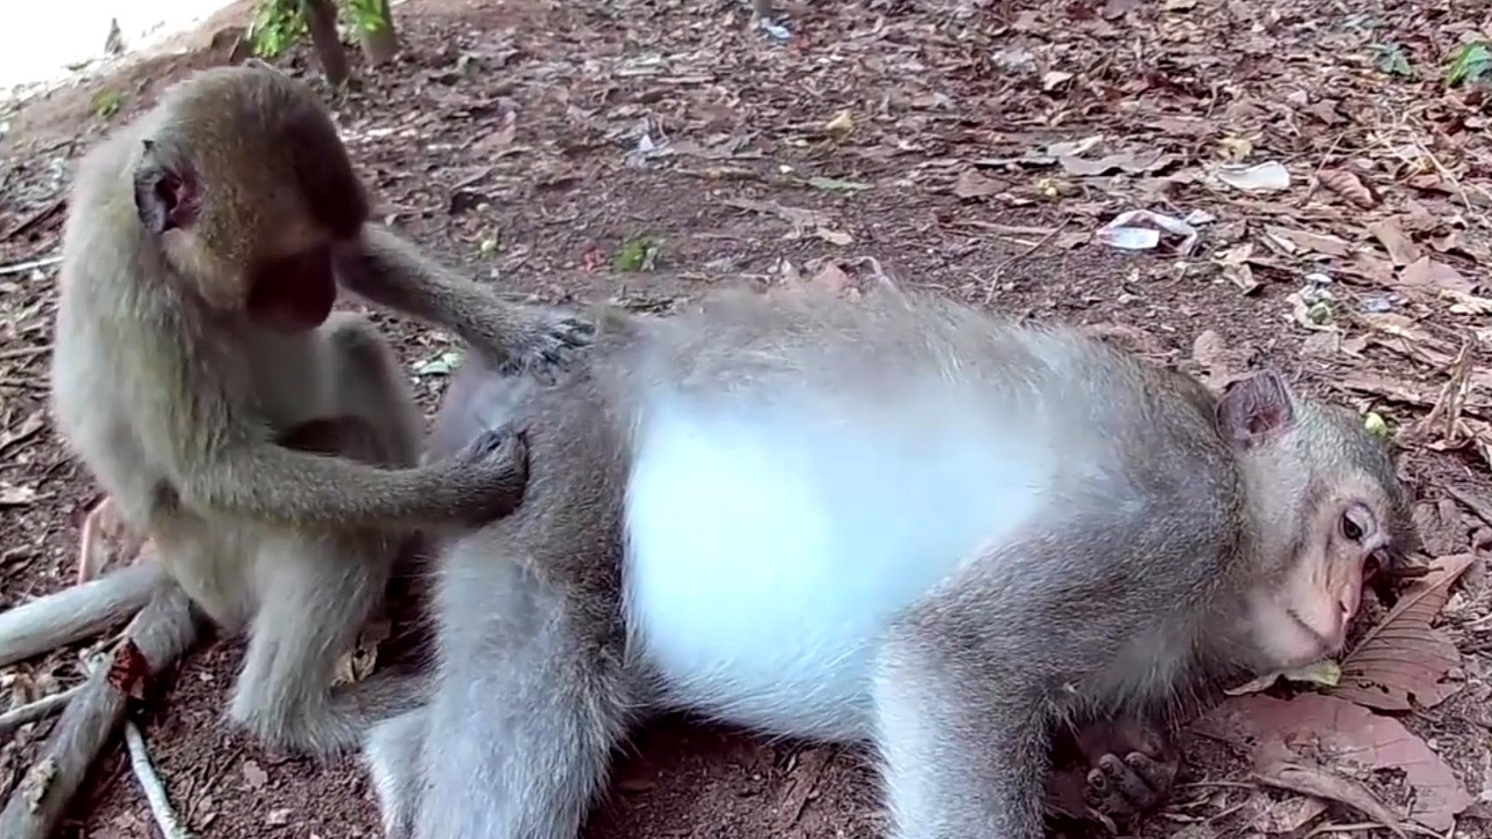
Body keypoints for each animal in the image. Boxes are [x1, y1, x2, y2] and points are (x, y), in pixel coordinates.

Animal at [0, 65, 584, 755]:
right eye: (290, 264)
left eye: (324, 250)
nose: (321, 292)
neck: (166, 250)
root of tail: (178, 573)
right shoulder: (138, 296)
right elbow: (215, 468)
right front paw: (465, 489)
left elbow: (364, 260)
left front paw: (518, 331)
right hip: (223, 567)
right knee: (335, 508)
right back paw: (296, 715)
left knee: (356, 343)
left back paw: (410, 547)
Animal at [361, 286, 1408, 836]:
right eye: (1353, 530)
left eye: (1382, 573)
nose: (1350, 610)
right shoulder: (1172, 508)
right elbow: (960, 655)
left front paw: (1132, 768)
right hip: (552, 452)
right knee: (550, 642)